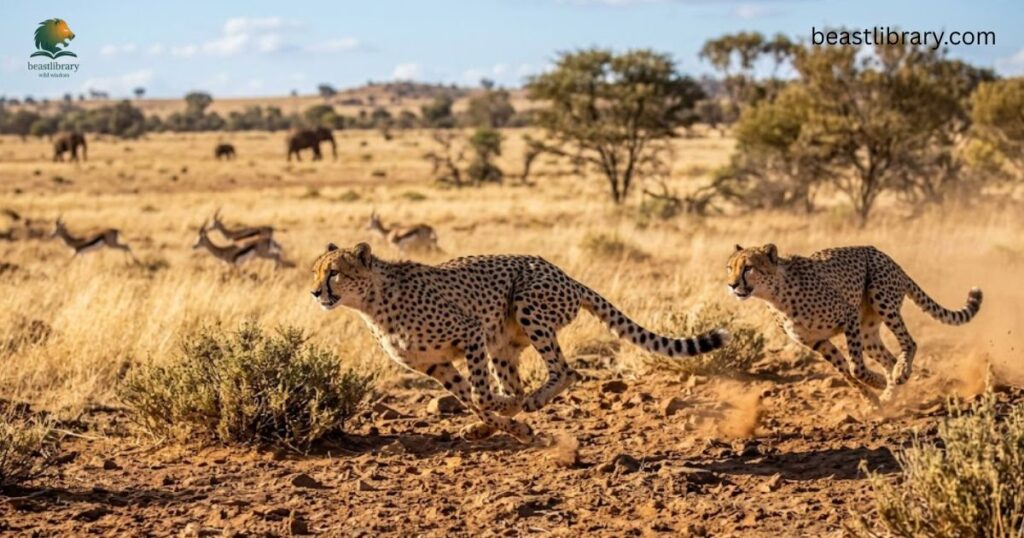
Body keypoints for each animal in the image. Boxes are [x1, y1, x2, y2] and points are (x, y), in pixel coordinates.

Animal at [311, 242, 731, 443]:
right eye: (315, 272)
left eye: (334, 273)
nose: (315, 292)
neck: (373, 303)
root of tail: (566, 274)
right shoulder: (436, 365)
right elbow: (473, 400)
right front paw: (508, 428)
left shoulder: (470, 331)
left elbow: (480, 395)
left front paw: (504, 410)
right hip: (503, 345)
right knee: (518, 381)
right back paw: (501, 420)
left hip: (528, 304)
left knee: (564, 371)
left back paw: (532, 400)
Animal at [727, 244, 982, 404]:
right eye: (730, 268)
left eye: (748, 268)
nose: (731, 285)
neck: (775, 295)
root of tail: (883, 254)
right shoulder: (816, 342)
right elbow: (845, 373)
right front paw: (873, 397)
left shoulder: (847, 316)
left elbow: (855, 368)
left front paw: (876, 382)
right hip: (868, 332)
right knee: (889, 358)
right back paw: (891, 391)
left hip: (881, 298)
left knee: (909, 342)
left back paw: (899, 374)